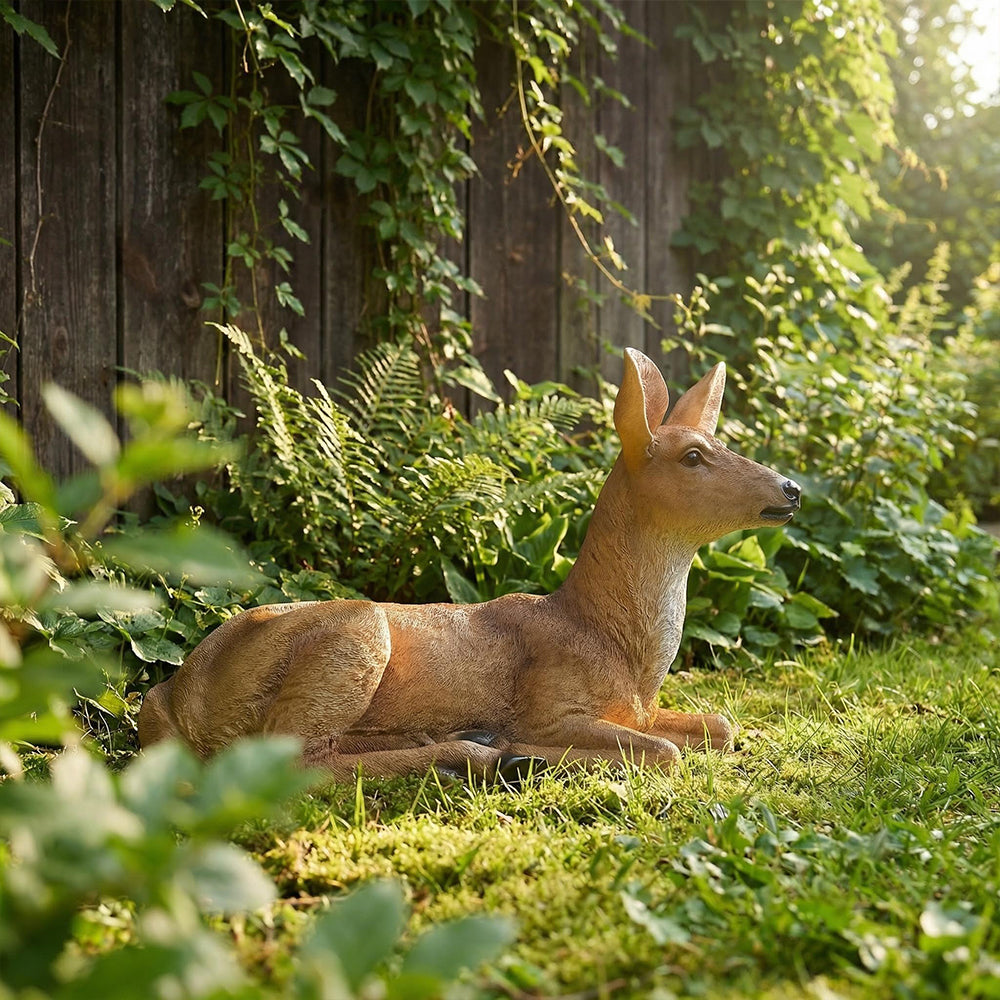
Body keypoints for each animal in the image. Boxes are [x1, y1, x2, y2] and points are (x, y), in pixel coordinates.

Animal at [138, 349, 801, 783]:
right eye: (694, 456)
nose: (791, 488)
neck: (617, 648)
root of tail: (175, 697)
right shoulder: (550, 705)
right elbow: (666, 751)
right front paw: (531, 751)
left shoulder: (635, 708)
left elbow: (722, 724)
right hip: (355, 635)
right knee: (292, 760)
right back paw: (491, 754)